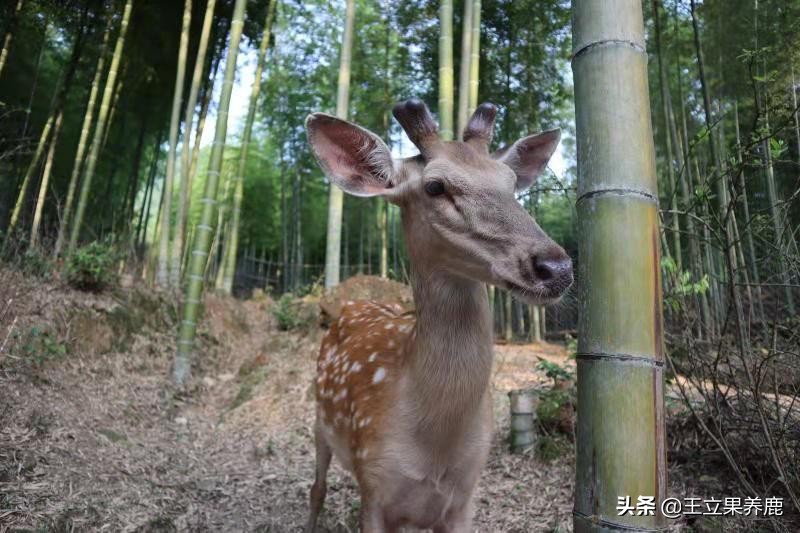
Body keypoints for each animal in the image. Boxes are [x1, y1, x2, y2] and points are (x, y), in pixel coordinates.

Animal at [304, 99, 572, 532]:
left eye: (511, 183)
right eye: (435, 187)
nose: (556, 267)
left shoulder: (464, 498)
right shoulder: (373, 486)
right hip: (318, 418)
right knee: (317, 487)